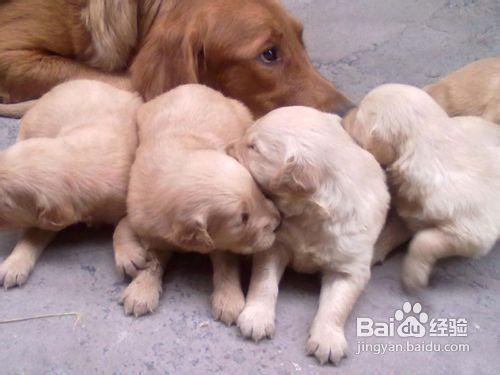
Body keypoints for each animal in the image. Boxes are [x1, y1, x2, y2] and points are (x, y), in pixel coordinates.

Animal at [0, 81, 142, 290]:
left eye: (4, 202)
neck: (78, 160)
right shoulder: (48, 217)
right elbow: (31, 235)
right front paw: (13, 264)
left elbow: (122, 225)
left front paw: (128, 256)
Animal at [114, 85, 282, 324]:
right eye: (243, 218)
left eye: (258, 190)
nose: (279, 222)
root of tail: (193, 85)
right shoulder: (145, 219)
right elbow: (149, 253)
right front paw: (140, 289)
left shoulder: (222, 242)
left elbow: (226, 264)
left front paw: (229, 299)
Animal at [228, 107, 390, 366]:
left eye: (253, 147)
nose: (226, 147)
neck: (312, 216)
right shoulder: (275, 245)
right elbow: (264, 283)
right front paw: (257, 317)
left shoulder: (351, 268)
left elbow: (336, 306)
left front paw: (328, 339)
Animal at [344, 84, 500, 290]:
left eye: (358, 116)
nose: (344, 112)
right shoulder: (408, 212)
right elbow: (388, 232)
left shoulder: (473, 232)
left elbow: (424, 241)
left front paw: (413, 275)